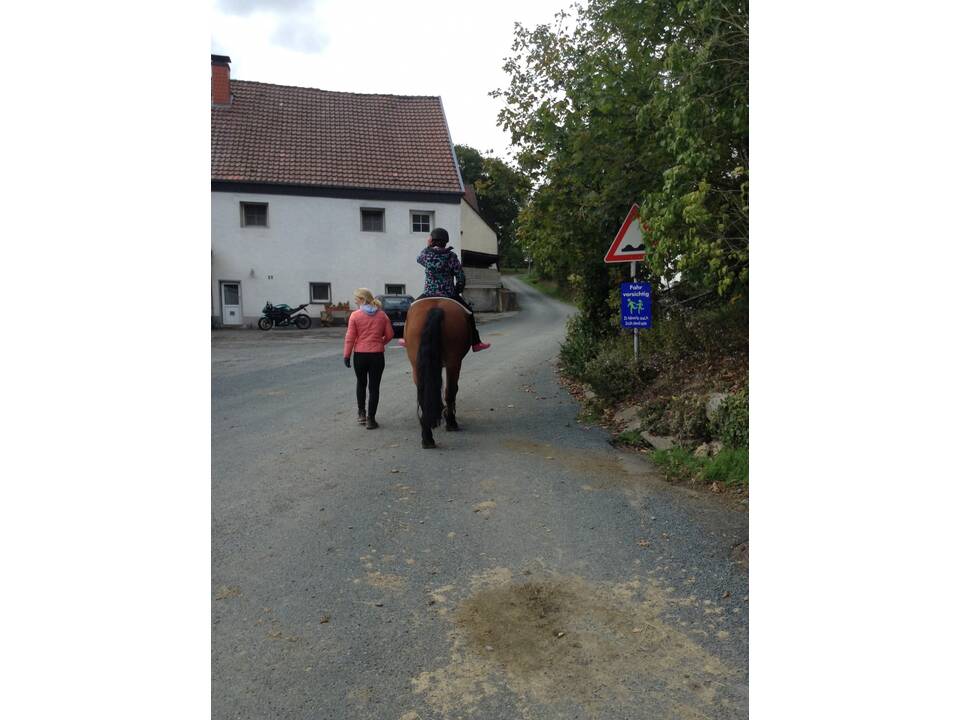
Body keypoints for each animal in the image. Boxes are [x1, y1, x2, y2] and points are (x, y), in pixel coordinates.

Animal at [404, 296, 470, 444]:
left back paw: (427, 436)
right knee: (450, 391)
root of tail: (435, 308)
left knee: (423, 392)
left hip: (417, 365)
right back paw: (451, 423)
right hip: (453, 362)